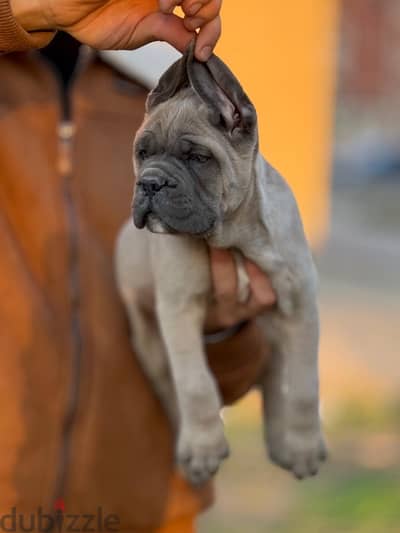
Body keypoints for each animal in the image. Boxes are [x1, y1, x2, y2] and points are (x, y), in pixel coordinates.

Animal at [114, 42, 326, 482]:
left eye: (198, 158)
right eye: (142, 152)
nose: (149, 183)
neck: (235, 240)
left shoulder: (300, 306)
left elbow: (303, 386)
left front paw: (303, 445)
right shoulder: (179, 310)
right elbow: (195, 384)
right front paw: (204, 448)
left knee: (277, 381)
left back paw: (284, 444)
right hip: (148, 336)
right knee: (172, 389)